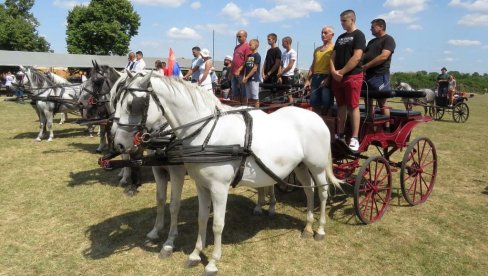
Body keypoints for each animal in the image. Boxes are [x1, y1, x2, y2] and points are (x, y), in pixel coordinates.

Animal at [124, 72, 342, 274]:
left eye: (131, 105)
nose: (121, 143)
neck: (207, 134)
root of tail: (317, 117)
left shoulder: (218, 188)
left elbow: (217, 224)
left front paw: (212, 263)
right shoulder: (201, 185)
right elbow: (202, 217)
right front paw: (195, 255)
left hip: (317, 166)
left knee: (322, 193)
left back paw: (319, 230)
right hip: (300, 166)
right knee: (309, 190)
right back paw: (307, 227)